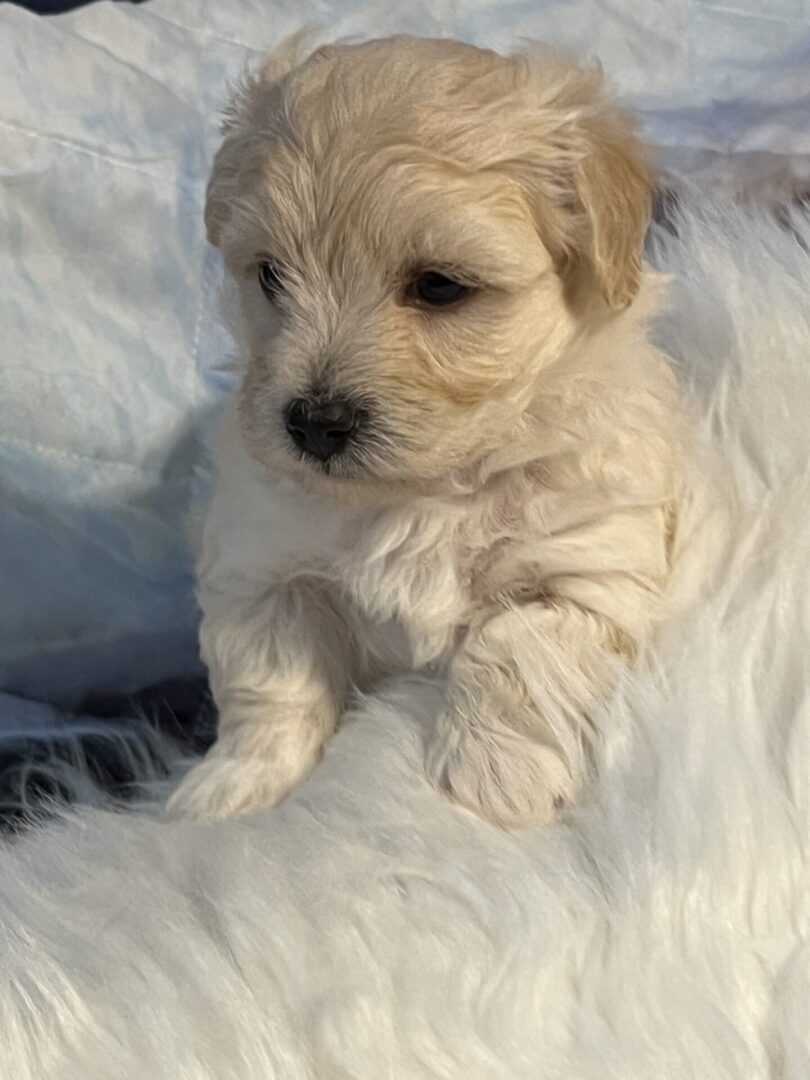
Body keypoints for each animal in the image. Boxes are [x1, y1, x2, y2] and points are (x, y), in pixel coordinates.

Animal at [168, 33, 682, 825]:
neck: (423, 490)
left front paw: (496, 780)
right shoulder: (263, 574)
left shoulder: (585, 566)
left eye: (440, 286)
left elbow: (515, 648)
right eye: (272, 276)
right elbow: (271, 685)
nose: (315, 423)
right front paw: (239, 787)